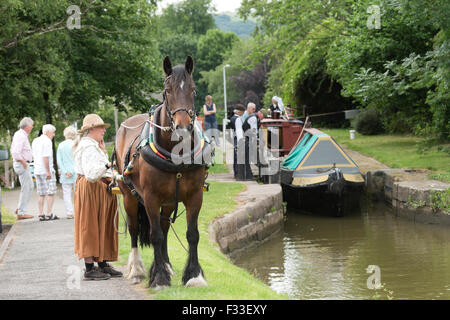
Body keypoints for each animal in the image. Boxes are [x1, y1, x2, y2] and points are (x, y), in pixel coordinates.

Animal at [115, 56, 208, 288]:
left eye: (193, 89)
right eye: (167, 90)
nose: (183, 128)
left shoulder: (195, 196)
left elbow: (192, 234)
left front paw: (194, 275)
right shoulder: (150, 197)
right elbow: (154, 235)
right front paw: (158, 278)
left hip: (169, 201)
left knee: (165, 228)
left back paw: (166, 265)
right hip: (129, 196)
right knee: (134, 229)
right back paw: (137, 269)